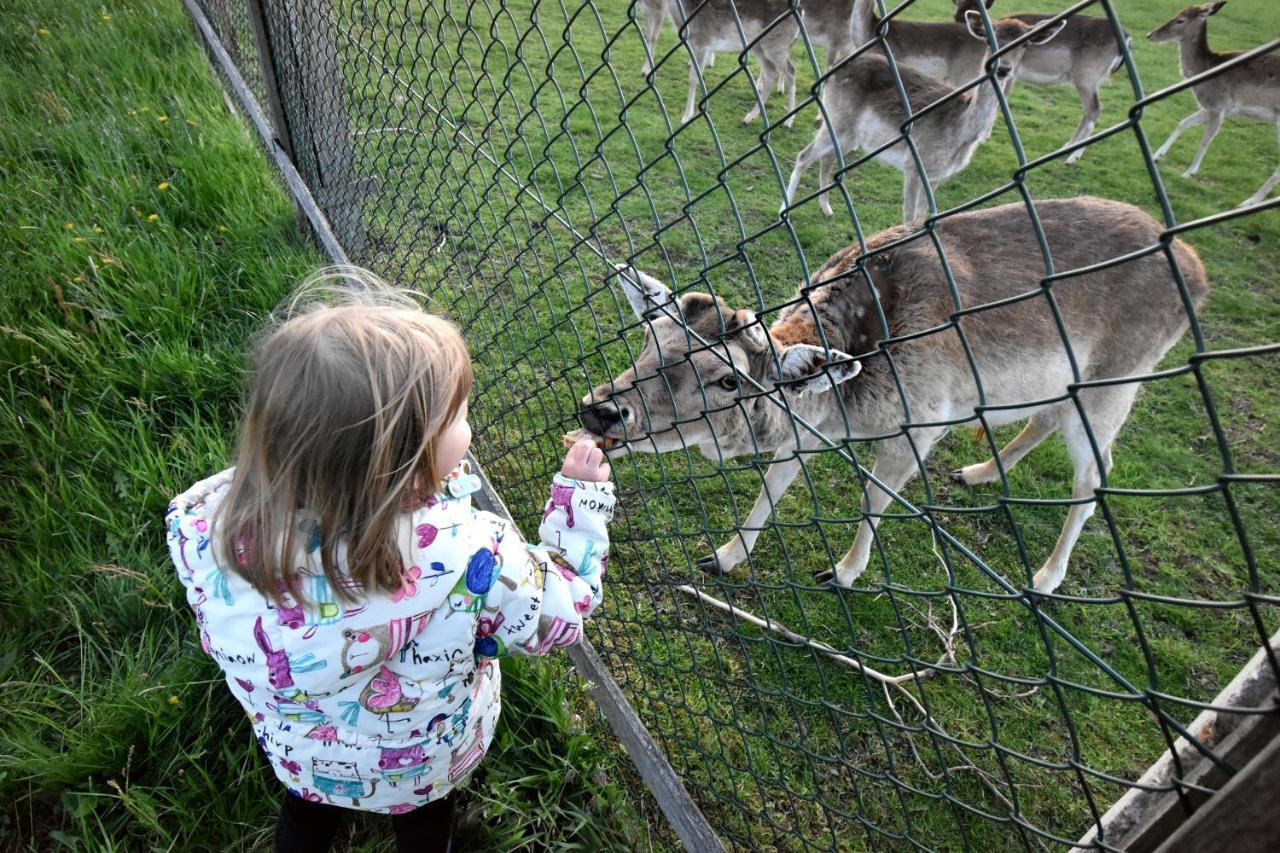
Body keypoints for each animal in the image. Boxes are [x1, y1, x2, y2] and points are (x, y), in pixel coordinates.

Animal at [581, 194, 1208, 591]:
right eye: (648, 337)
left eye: (729, 379)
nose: (602, 408)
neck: (853, 402)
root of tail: (1199, 273)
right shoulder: (812, 423)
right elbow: (773, 483)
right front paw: (725, 556)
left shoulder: (923, 422)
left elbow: (875, 499)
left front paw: (843, 571)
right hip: (1066, 384)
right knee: (1045, 419)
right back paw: (979, 472)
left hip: (1119, 379)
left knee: (1095, 474)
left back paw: (1047, 577)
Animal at [783, 10, 1064, 222]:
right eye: (989, 39)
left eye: (1025, 43)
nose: (1004, 69)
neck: (960, 134)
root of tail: (831, 73)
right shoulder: (913, 165)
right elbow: (908, 218)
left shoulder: (939, 175)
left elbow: (921, 216)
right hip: (838, 119)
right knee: (804, 154)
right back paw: (784, 209)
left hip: (850, 135)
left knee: (827, 159)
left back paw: (826, 208)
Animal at [952, 0, 1131, 163]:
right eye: (956, 12)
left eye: (1025, 44)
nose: (1002, 68)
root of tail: (1127, 37)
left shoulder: (1014, 72)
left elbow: (1000, 100)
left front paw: (984, 137)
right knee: (1089, 111)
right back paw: (1067, 147)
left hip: (1087, 76)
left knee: (1095, 109)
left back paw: (1073, 157)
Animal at [1152, 0, 1280, 206]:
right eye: (1176, 12)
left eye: (1181, 20)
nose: (1151, 34)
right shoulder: (1212, 107)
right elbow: (1184, 122)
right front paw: (1157, 156)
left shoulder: (1218, 105)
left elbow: (1206, 140)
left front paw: (1189, 172)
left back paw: (1249, 201)